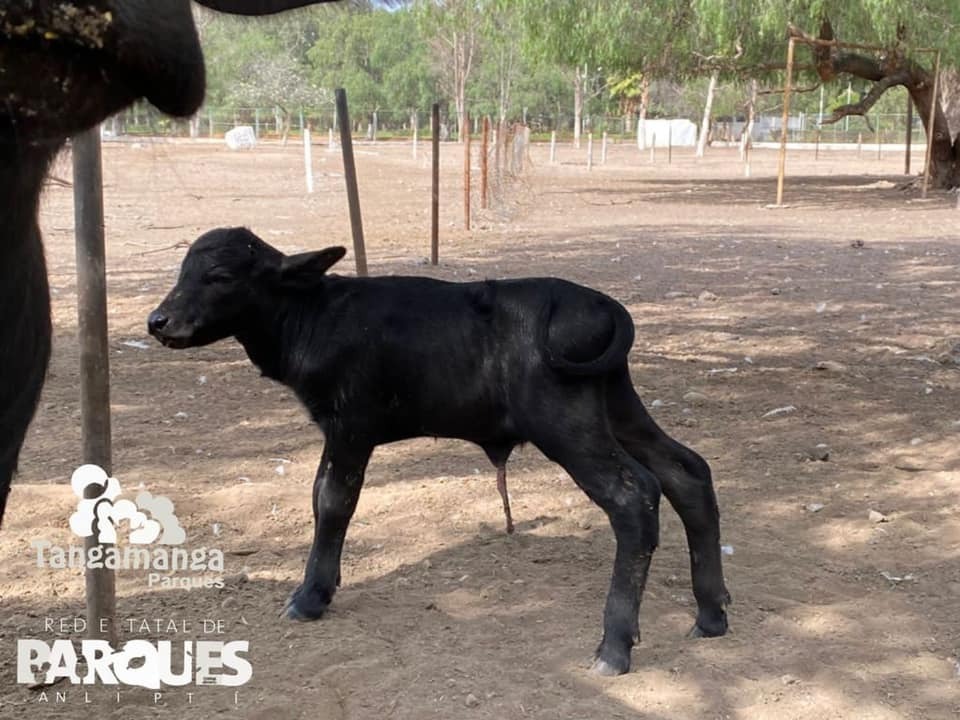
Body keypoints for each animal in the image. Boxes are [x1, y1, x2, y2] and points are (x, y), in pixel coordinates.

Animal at [148, 226, 728, 676]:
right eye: (183, 271)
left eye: (221, 276)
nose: (158, 321)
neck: (316, 315)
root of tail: (597, 302)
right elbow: (319, 497)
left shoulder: (350, 428)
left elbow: (333, 502)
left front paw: (310, 596)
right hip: (618, 406)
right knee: (687, 471)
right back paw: (711, 614)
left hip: (568, 424)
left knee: (635, 496)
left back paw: (614, 646)